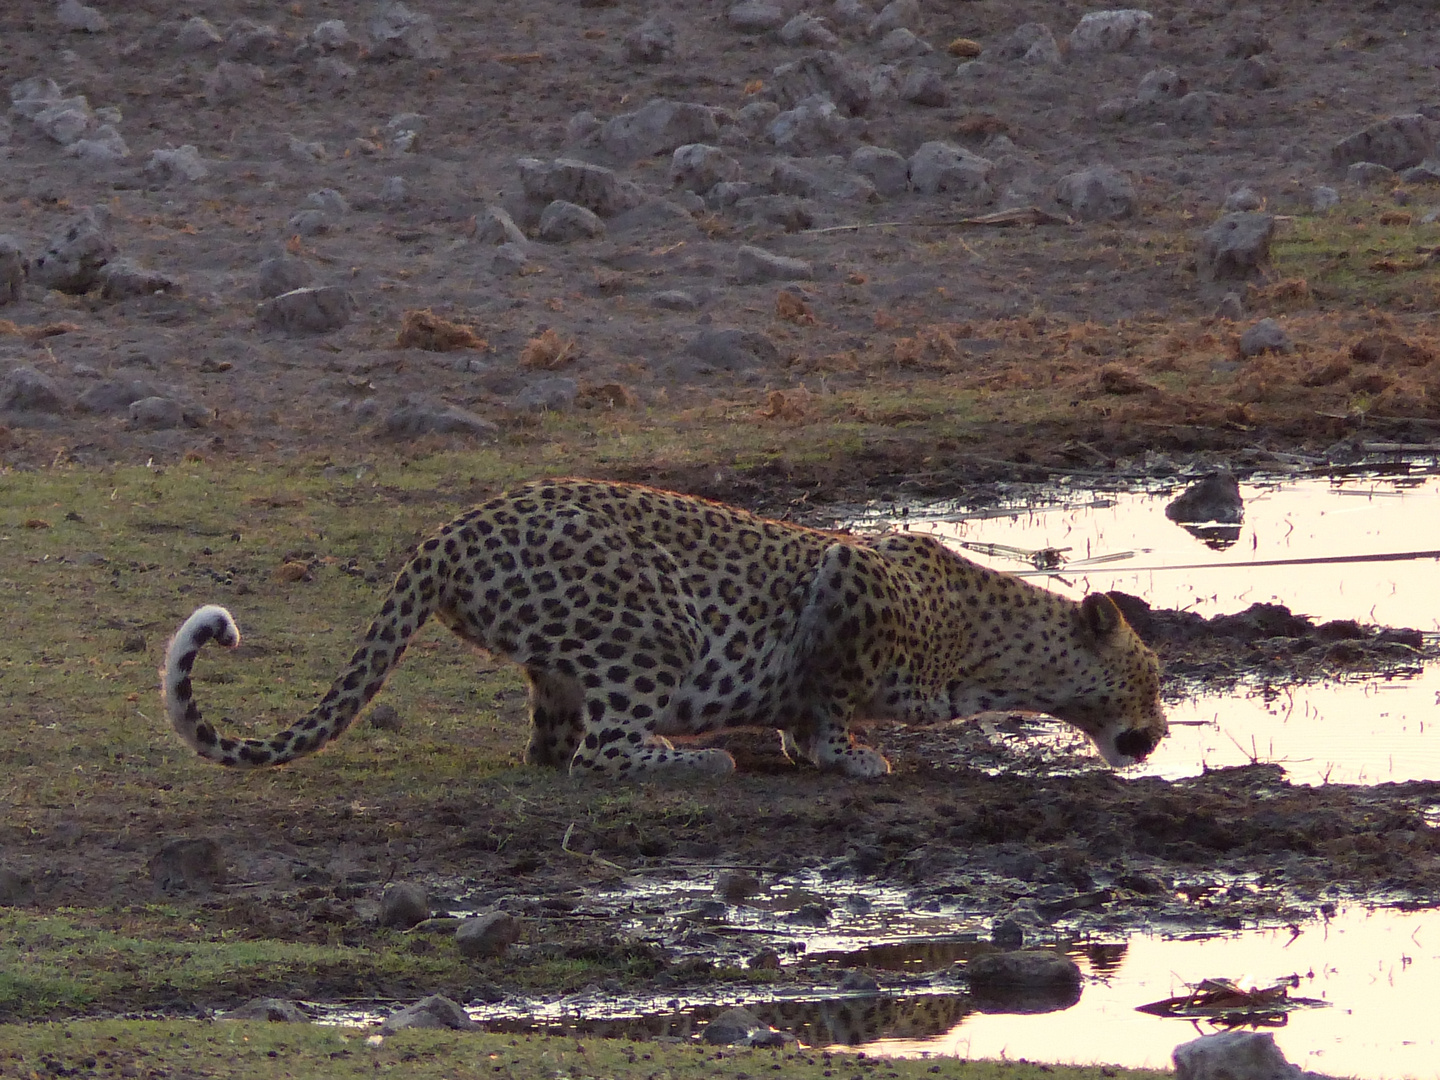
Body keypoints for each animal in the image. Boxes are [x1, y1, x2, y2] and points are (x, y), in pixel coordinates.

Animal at [163, 478, 1163, 783]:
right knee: (600, 752)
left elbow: (813, 708)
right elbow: (835, 698)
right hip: (655, 629)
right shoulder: (846, 585)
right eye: (1153, 681)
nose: (1155, 735)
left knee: (553, 749)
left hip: (561, 661)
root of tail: (447, 533)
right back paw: (697, 758)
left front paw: (816, 747)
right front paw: (851, 755)